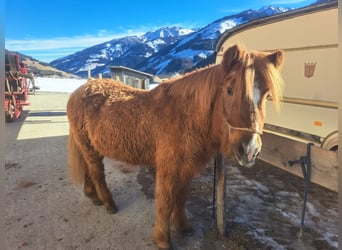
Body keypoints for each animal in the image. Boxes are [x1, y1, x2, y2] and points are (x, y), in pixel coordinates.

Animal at [67, 45, 284, 250]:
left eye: (267, 95)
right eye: (229, 90)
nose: (249, 150)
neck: (186, 115)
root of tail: (80, 90)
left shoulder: (187, 167)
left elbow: (181, 198)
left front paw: (183, 226)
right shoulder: (168, 168)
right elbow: (166, 201)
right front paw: (163, 240)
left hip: (87, 147)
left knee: (88, 169)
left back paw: (93, 196)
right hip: (89, 148)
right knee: (97, 174)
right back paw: (108, 204)